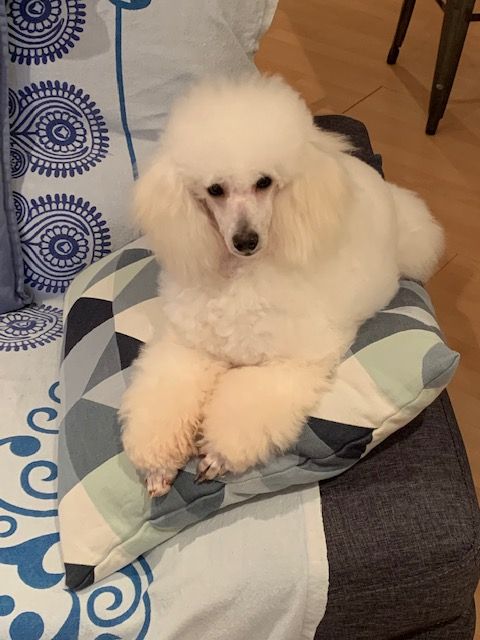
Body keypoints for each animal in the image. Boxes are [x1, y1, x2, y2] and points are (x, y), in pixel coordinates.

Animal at [119, 75, 444, 497]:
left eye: (264, 182)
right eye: (215, 190)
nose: (246, 241)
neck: (242, 277)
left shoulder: (290, 363)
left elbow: (246, 409)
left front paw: (215, 456)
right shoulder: (187, 346)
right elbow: (164, 399)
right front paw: (159, 464)